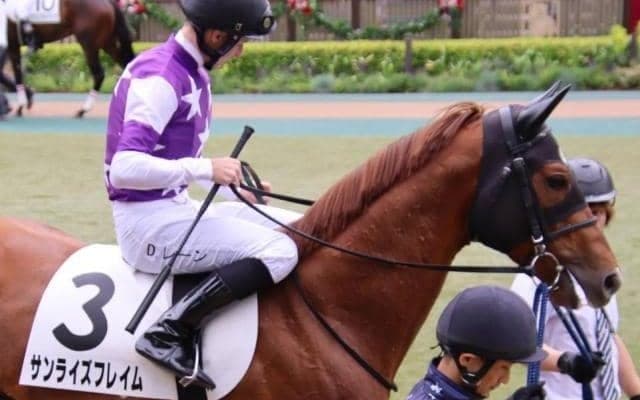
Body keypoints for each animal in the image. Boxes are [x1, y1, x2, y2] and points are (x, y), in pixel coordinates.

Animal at [3, 0, 134, 118]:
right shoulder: (11, 45)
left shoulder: (12, 44)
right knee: (126, 65)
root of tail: (108, 2)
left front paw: (20, 106)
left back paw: (83, 109)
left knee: (99, 74)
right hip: (106, 43)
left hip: (89, 44)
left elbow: (17, 73)